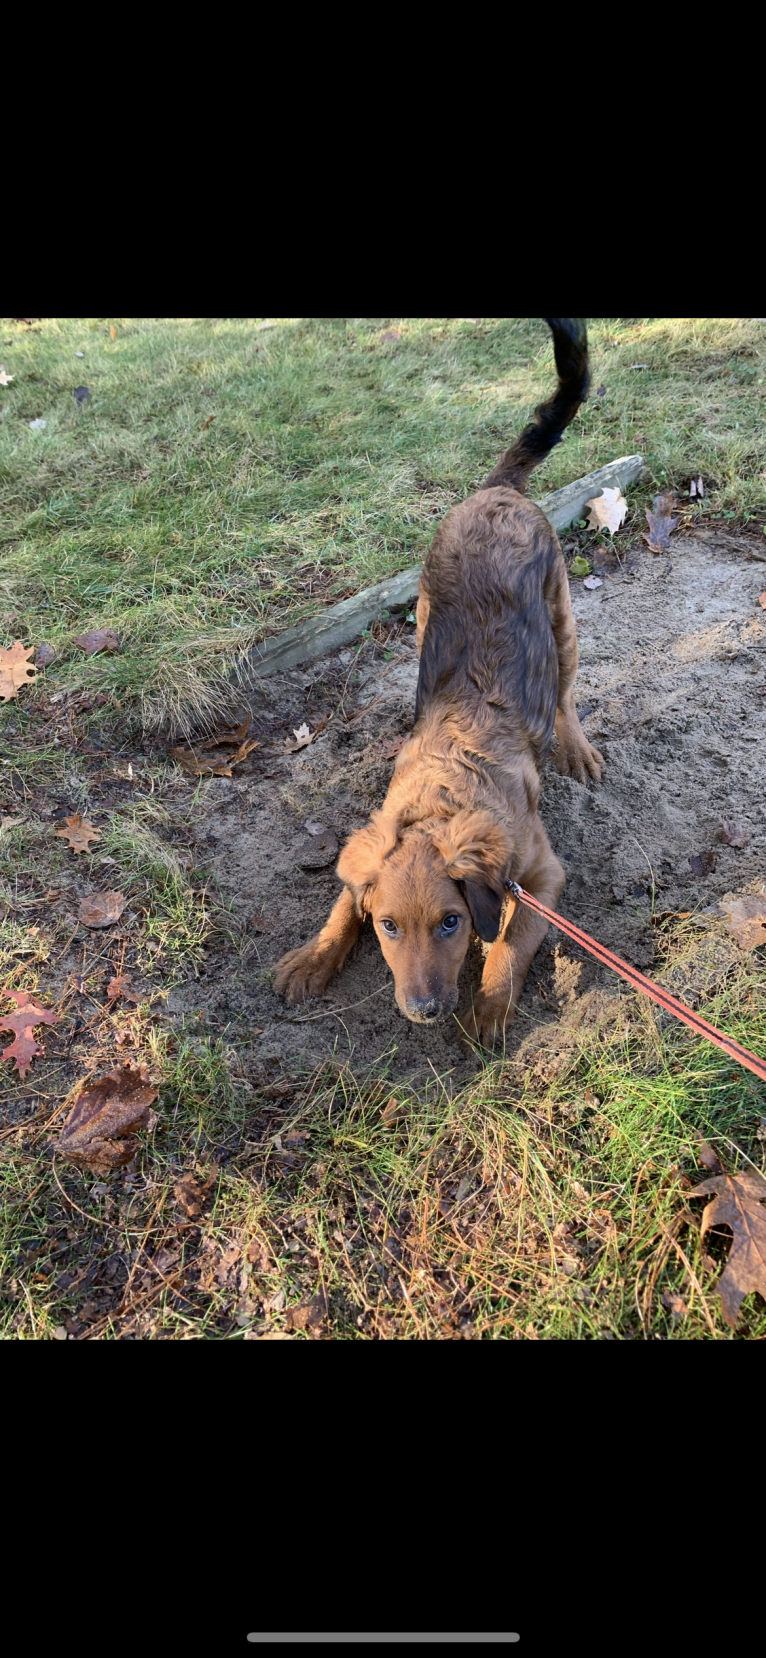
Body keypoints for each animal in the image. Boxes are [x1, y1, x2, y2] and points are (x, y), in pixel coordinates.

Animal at [275, 316, 603, 1041]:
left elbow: (511, 941)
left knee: (565, 692)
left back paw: (576, 749)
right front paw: (313, 956)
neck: (444, 796)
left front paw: (489, 1008)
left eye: (452, 922)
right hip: (427, 609)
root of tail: (497, 491)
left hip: (562, 611)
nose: (423, 1011)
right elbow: (342, 901)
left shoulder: (541, 876)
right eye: (389, 926)